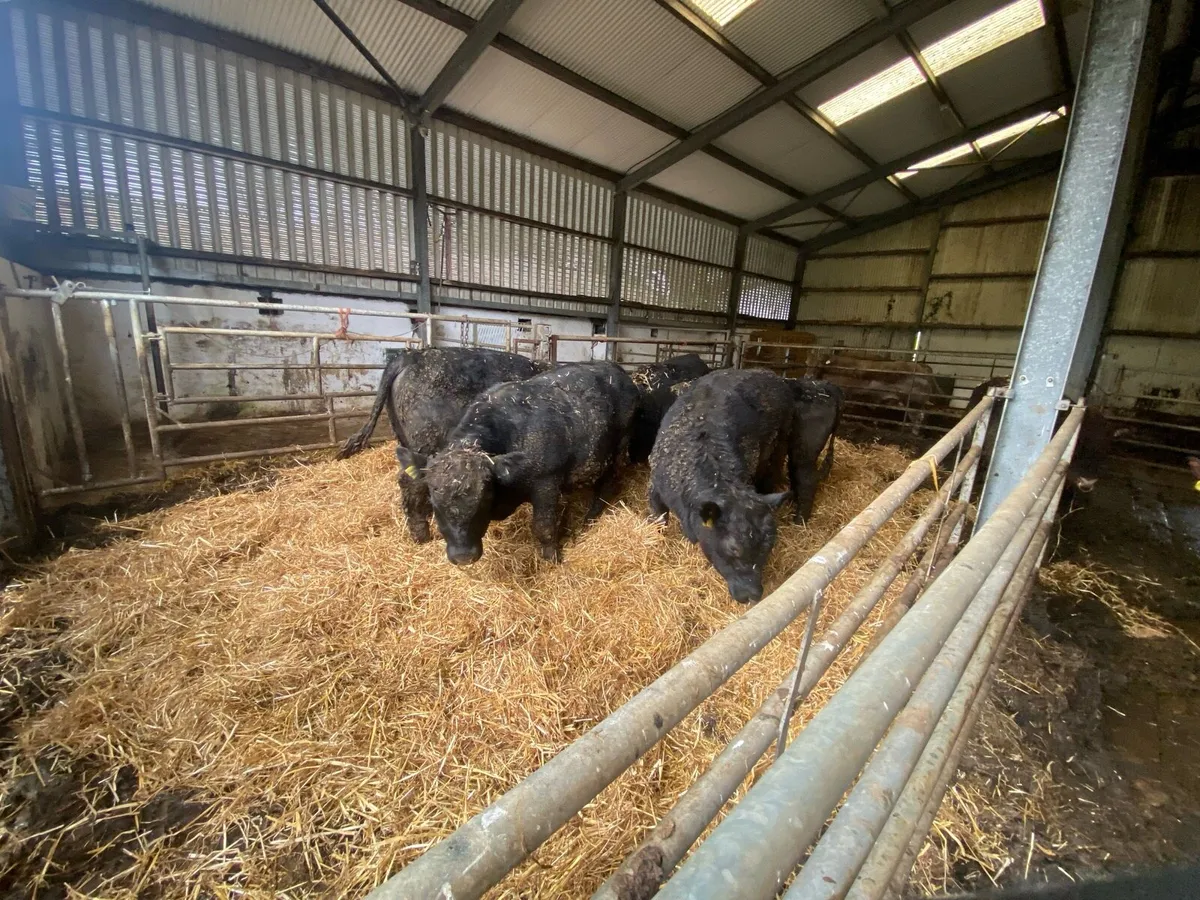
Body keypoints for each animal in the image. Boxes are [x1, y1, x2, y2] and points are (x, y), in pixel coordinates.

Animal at [410, 361, 639, 564]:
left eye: (483, 498)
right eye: (434, 504)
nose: (463, 557)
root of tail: (618, 370)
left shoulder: (547, 483)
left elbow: (544, 527)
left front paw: (551, 559)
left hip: (619, 449)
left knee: (607, 486)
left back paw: (590, 519)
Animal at [649, 368, 823, 604]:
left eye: (769, 545)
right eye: (733, 549)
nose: (752, 595)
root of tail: (767, 373)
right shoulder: (655, 487)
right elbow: (658, 520)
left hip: (780, 443)